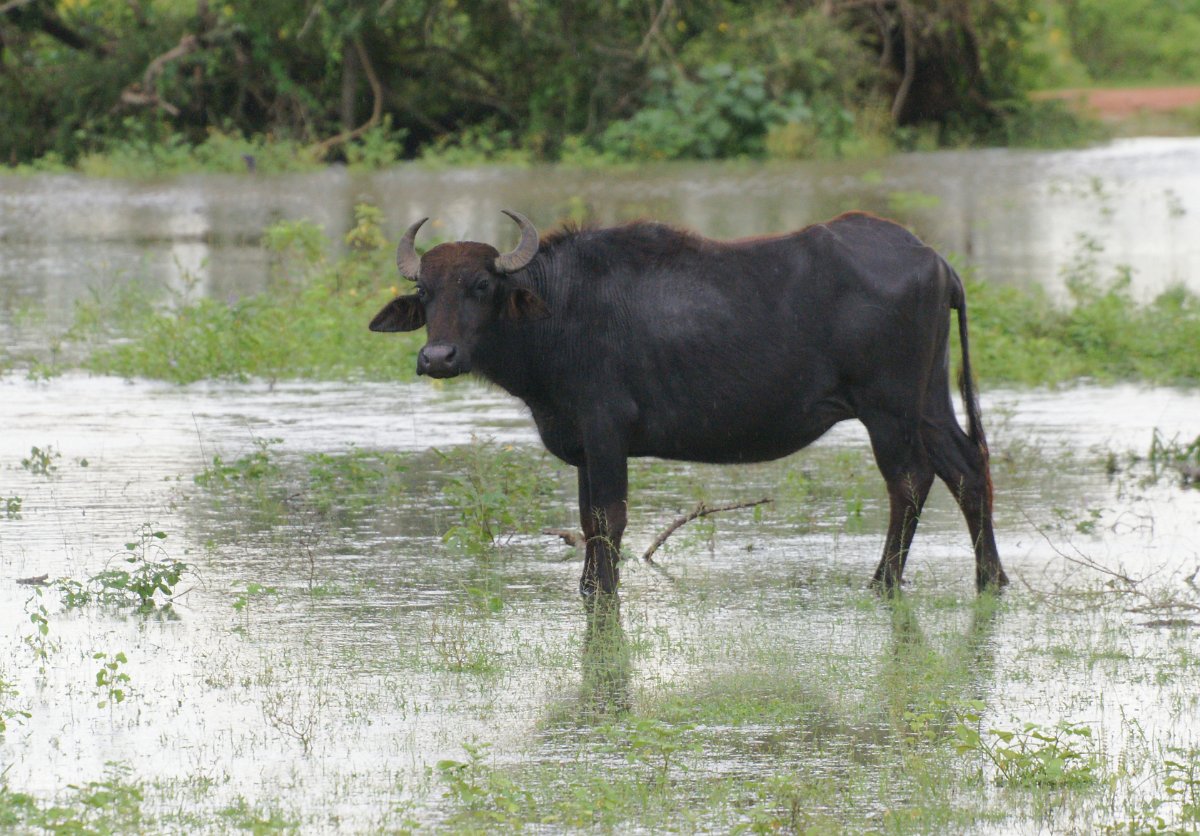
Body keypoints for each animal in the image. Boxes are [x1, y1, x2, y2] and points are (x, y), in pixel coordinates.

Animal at [370, 210, 1008, 597]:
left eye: (481, 286)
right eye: (425, 291)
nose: (438, 356)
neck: (562, 310)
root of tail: (934, 259)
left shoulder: (606, 432)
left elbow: (610, 518)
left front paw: (604, 593)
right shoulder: (582, 446)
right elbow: (588, 520)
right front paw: (587, 587)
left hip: (888, 408)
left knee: (910, 481)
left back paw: (884, 581)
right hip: (928, 401)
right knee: (967, 469)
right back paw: (991, 578)